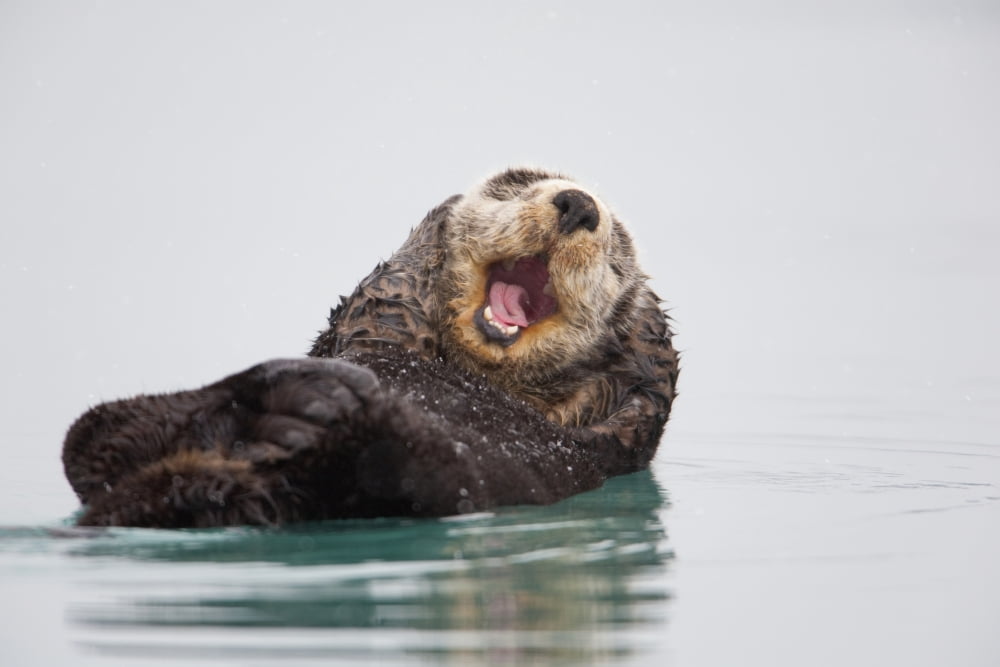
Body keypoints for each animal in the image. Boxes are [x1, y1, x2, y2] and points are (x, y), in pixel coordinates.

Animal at [62, 167, 679, 527]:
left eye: (618, 251)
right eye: (515, 183)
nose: (578, 204)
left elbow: (645, 391)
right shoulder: (381, 318)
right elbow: (385, 300)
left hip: (446, 473)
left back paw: (316, 406)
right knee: (94, 442)